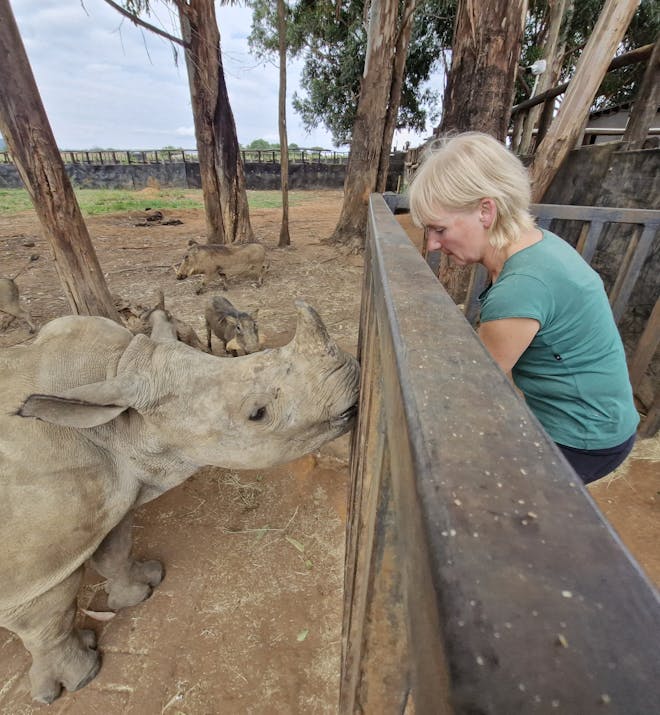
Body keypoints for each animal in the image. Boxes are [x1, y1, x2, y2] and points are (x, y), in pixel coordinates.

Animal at [0, 300, 359, 703]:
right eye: (257, 413)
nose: (355, 382)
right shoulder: (31, 571)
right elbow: (47, 622)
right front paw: (77, 681)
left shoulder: (115, 491)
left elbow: (114, 550)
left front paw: (144, 588)